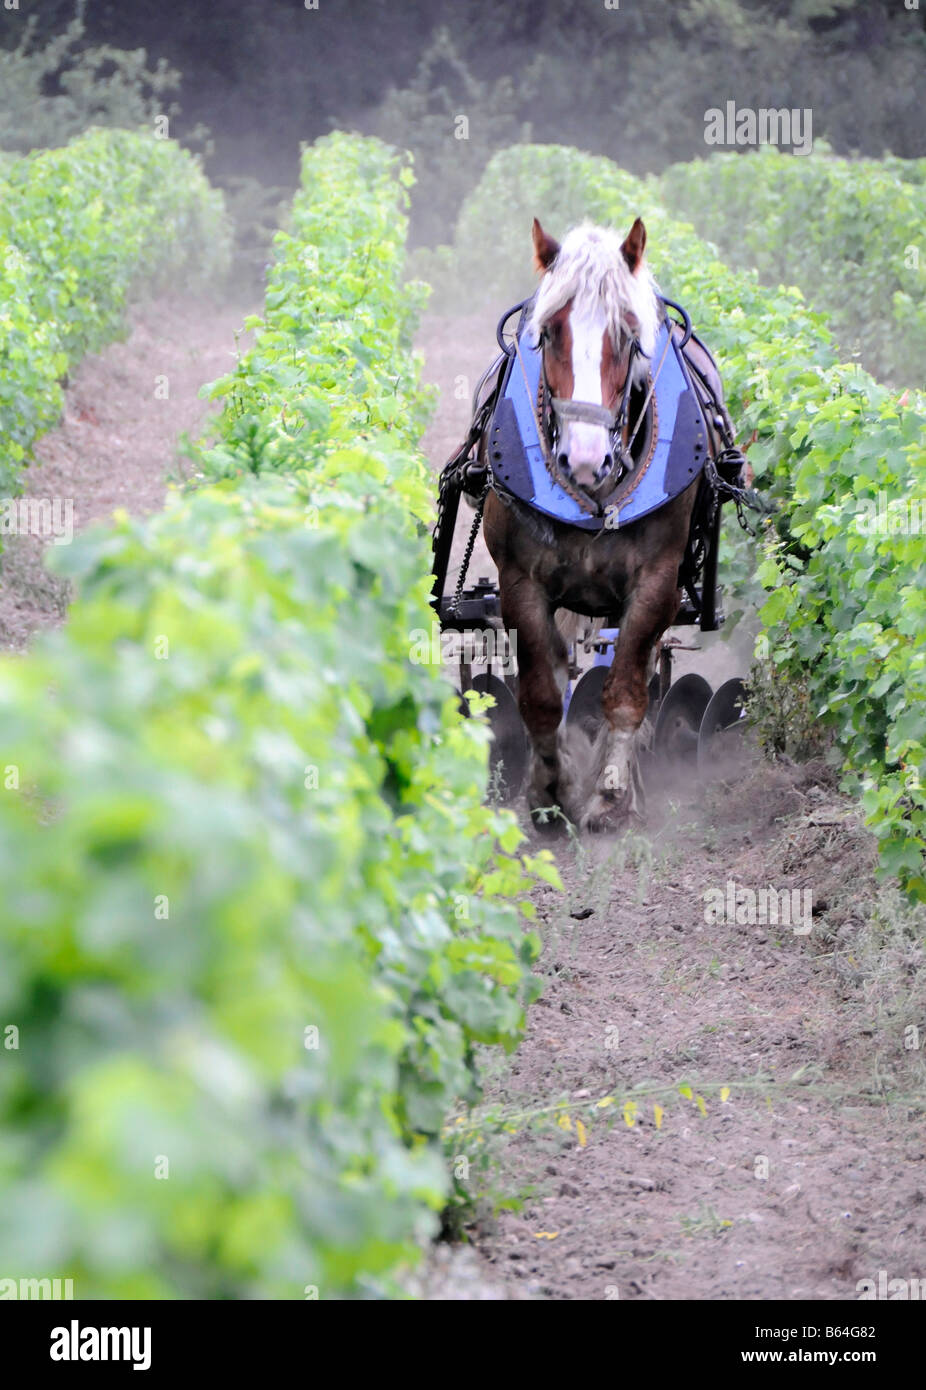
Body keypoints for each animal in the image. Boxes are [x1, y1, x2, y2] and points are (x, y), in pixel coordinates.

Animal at [478, 211, 723, 828]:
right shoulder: (521, 582)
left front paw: (610, 795)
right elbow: (541, 693)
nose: (586, 459)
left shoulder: (657, 582)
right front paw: (549, 792)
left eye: (629, 336)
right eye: (549, 332)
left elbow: (627, 688)